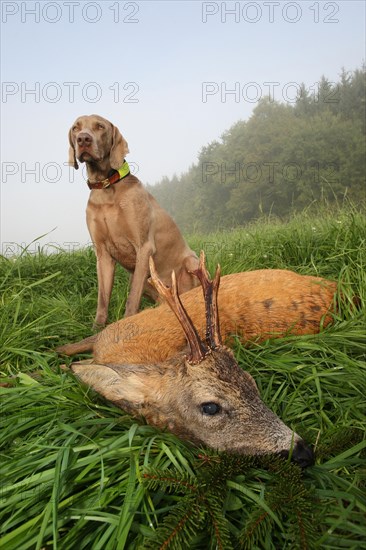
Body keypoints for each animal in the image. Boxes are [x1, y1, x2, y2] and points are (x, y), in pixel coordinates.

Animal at [68, 113, 200, 328]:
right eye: (75, 128)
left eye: (100, 126)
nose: (83, 139)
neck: (106, 189)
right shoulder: (102, 255)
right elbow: (102, 300)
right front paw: (97, 329)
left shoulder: (144, 247)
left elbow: (131, 300)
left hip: (191, 261)